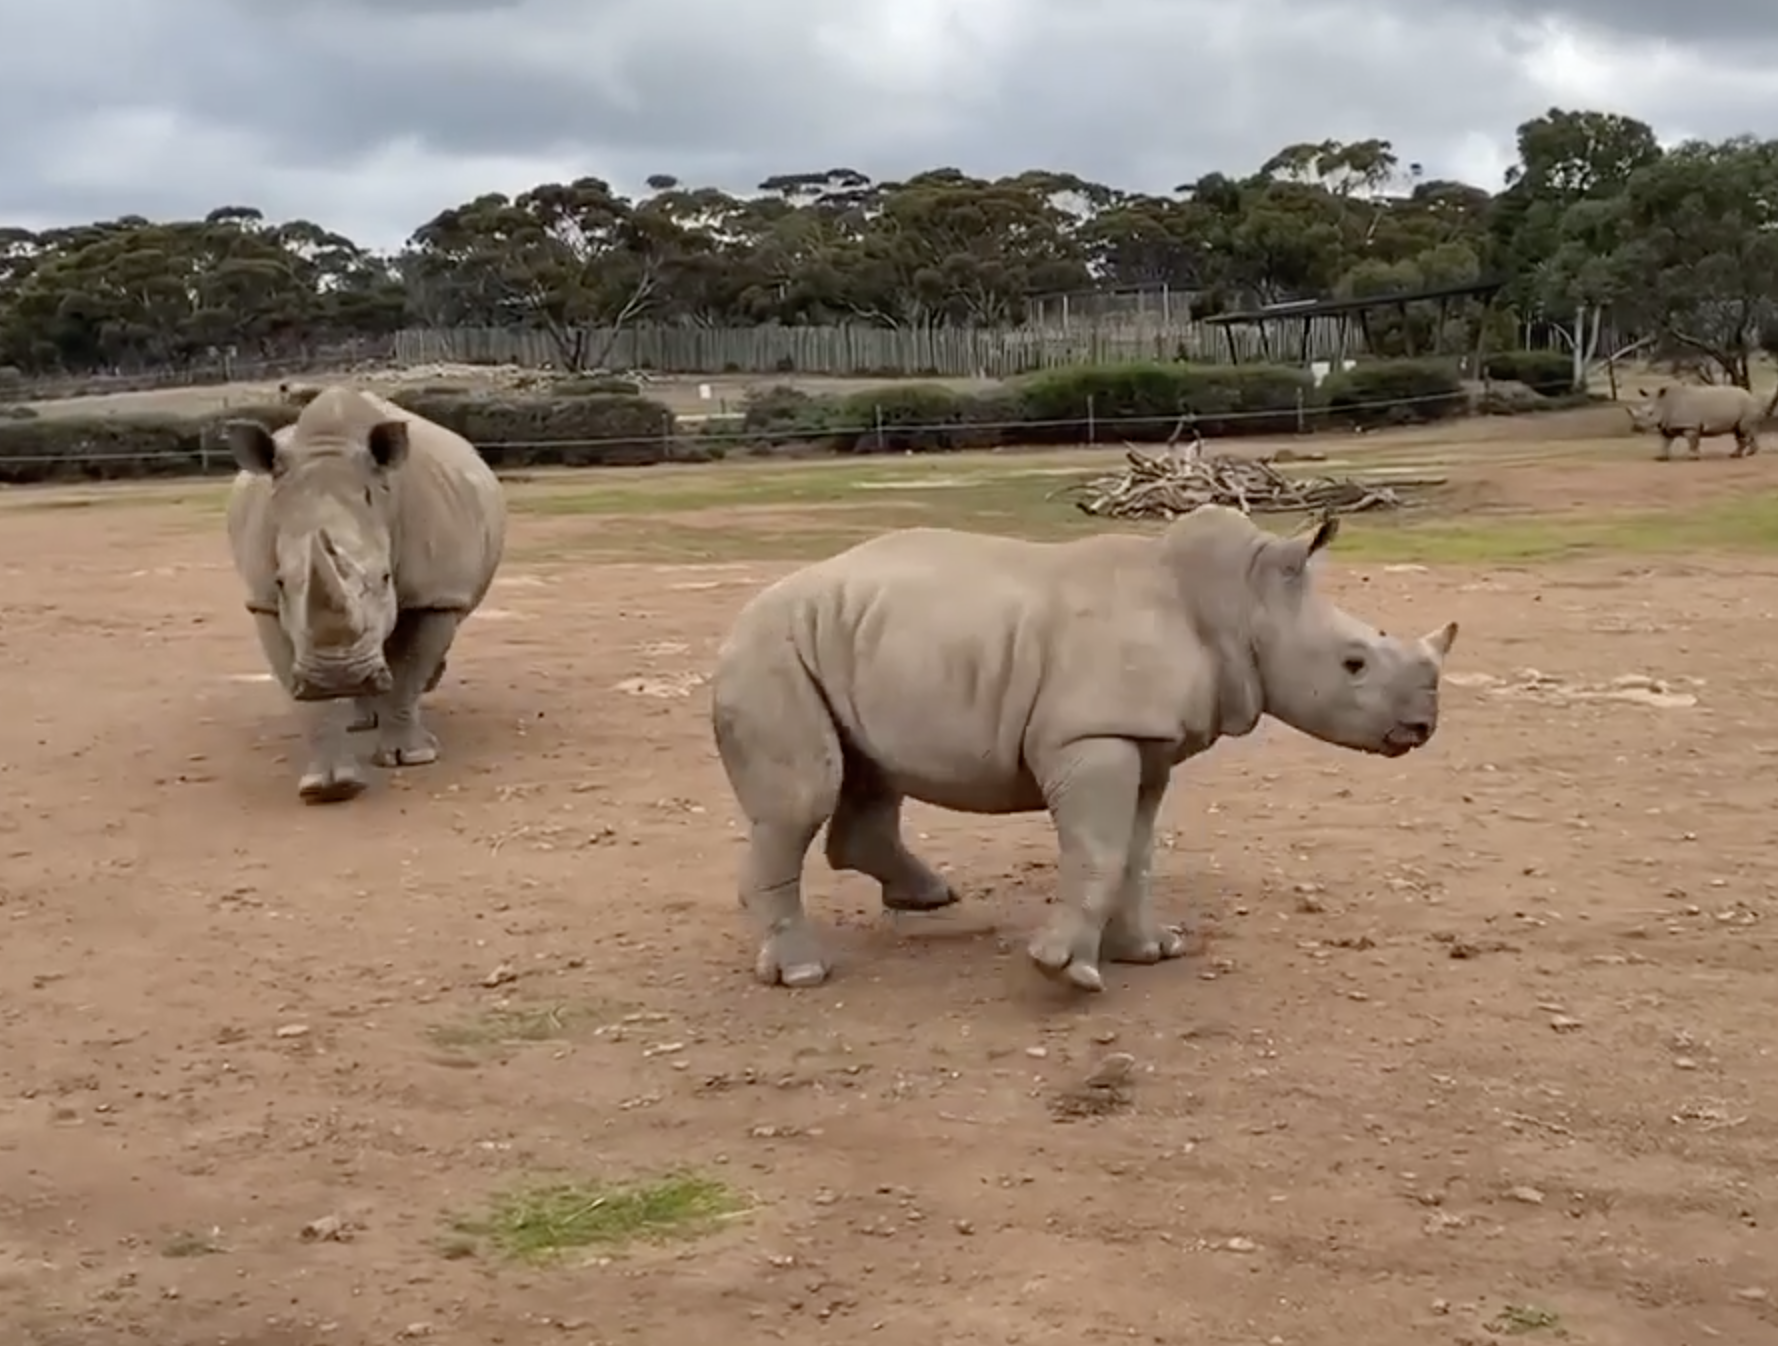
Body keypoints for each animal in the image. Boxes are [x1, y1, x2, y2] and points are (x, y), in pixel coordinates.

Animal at [225, 384, 508, 803]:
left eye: (386, 577)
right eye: (280, 583)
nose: (337, 675)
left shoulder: (435, 596)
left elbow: (410, 670)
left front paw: (411, 757)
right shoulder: (264, 603)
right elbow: (305, 695)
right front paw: (328, 787)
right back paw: (361, 720)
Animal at [707, 508, 1457, 995]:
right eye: (1354, 664)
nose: (1423, 727)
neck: (1238, 604)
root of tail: (739, 618)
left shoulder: (1148, 742)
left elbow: (1136, 853)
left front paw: (1151, 952)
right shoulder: (1091, 734)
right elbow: (1098, 848)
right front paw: (1065, 969)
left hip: (852, 640)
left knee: (870, 775)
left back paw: (928, 898)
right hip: (772, 649)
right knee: (805, 795)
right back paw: (805, 974)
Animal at [1628, 380, 1778, 458]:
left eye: (1650, 413)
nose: (1635, 428)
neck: (1665, 403)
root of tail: (1751, 396)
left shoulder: (1690, 425)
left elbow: (1692, 441)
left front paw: (1692, 457)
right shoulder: (1668, 425)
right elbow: (1665, 442)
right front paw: (1661, 458)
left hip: (1747, 406)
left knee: (1744, 429)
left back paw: (1746, 454)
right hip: (1745, 406)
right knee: (1739, 430)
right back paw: (1739, 454)